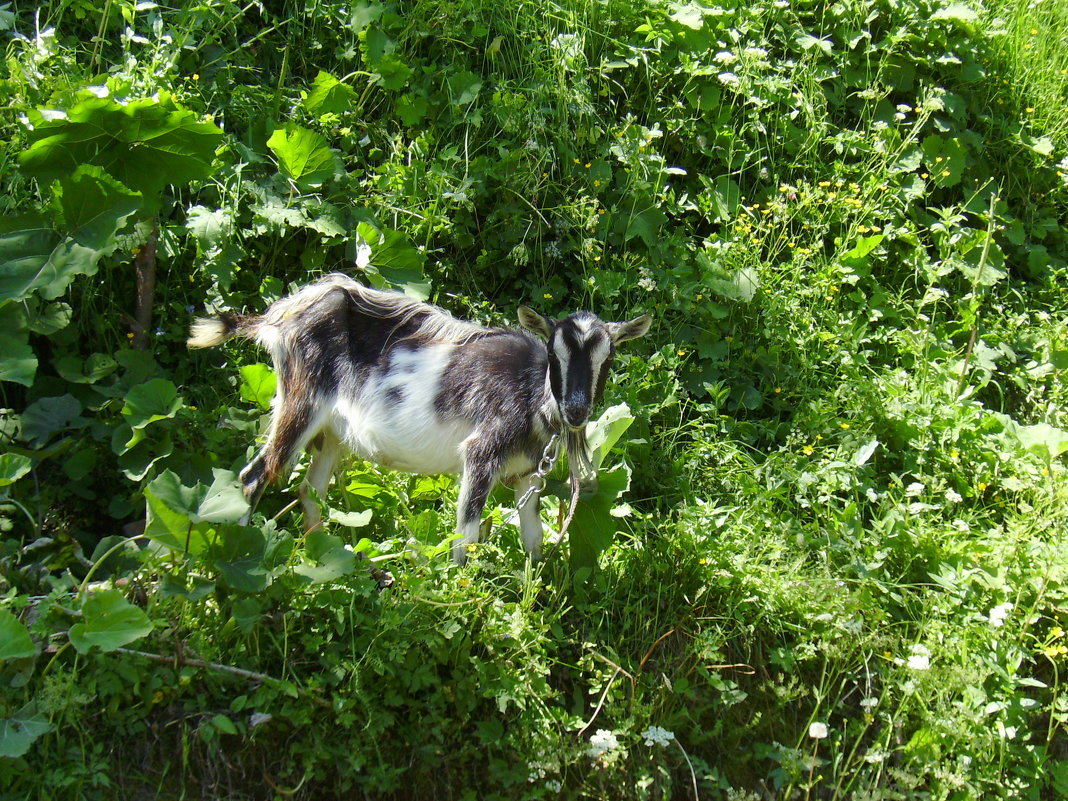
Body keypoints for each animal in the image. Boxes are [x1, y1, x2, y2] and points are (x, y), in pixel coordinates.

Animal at [186, 275, 645, 563]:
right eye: (554, 354)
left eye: (608, 359)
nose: (576, 410)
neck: (532, 394)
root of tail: (282, 315)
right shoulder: (480, 456)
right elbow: (466, 538)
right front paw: (462, 596)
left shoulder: (527, 474)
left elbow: (532, 542)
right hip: (302, 401)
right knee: (255, 475)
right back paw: (244, 551)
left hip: (332, 433)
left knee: (308, 489)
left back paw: (325, 558)